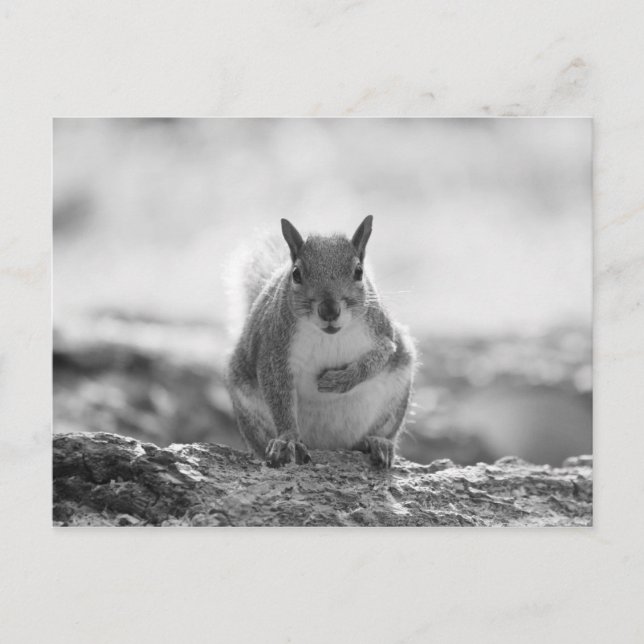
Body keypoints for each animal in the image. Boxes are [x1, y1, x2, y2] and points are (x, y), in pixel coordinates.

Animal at [226, 216, 416, 468]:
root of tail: (328, 446)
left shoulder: (383, 334)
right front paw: (288, 440)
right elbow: (279, 396)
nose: (329, 310)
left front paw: (339, 380)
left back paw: (377, 442)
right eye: (296, 274)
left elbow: (378, 358)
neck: (329, 336)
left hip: (395, 399)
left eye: (359, 271)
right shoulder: (274, 348)